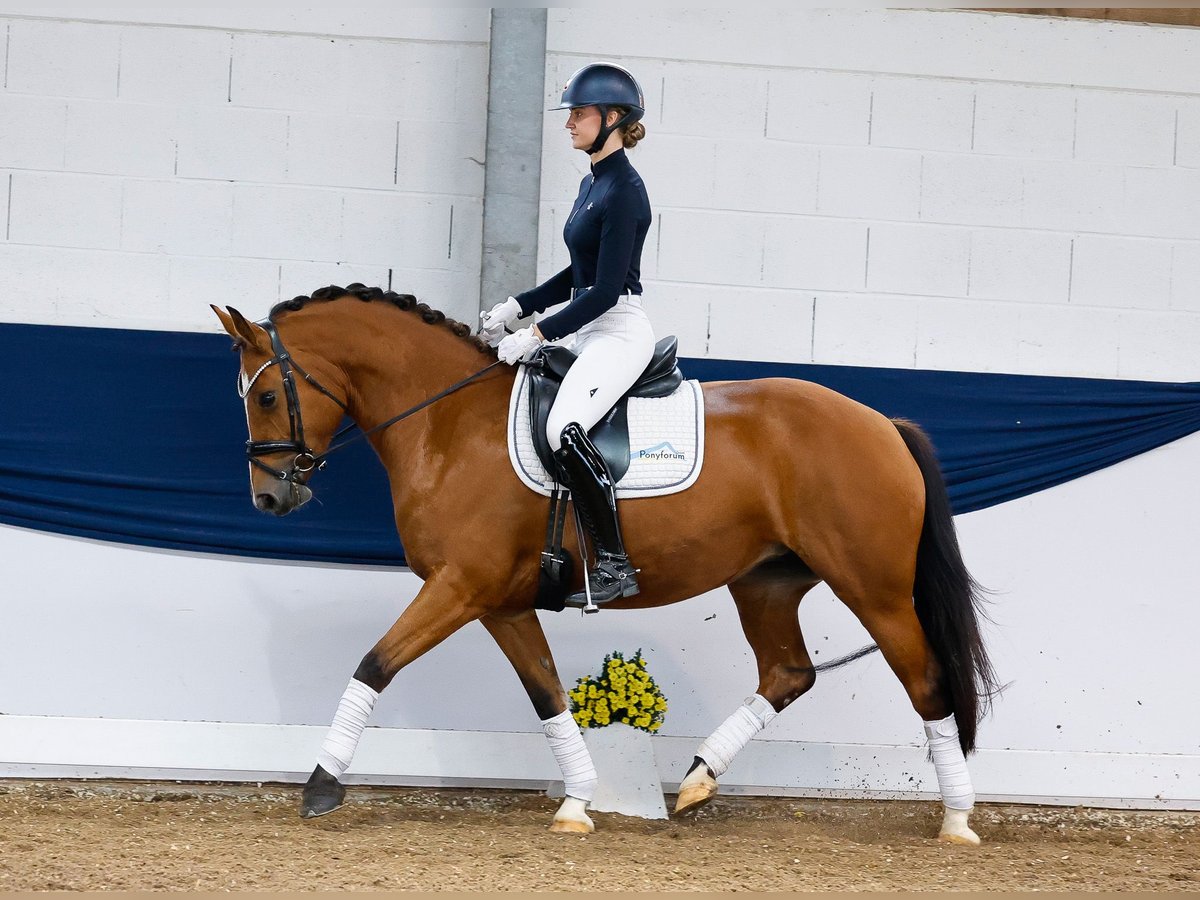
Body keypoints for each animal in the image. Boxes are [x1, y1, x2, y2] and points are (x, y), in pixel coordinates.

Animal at [211, 286, 998, 844]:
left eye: (270, 394)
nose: (269, 497)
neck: (449, 425)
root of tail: (882, 423)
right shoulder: (500, 603)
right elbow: (548, 694)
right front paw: (578, 804)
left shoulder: (458, 588)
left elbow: (374, 663)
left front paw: (320, 784)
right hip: (766, 583)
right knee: (788, 673)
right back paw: (696, 782)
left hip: (875, 589)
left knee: (926, 681)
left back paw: (957, 821)